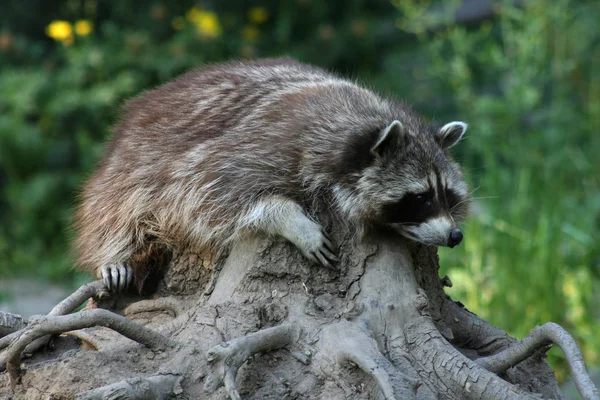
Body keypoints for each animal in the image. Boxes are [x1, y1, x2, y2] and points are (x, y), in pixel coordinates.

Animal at [74, 57, 468, 292]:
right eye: (421, 198)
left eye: (447, 195)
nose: (455, 236)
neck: (358, 123)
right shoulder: (272, 142)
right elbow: (205, 190)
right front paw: (289, 218)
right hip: (131, 160)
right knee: (117, 206)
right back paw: (114, 252)